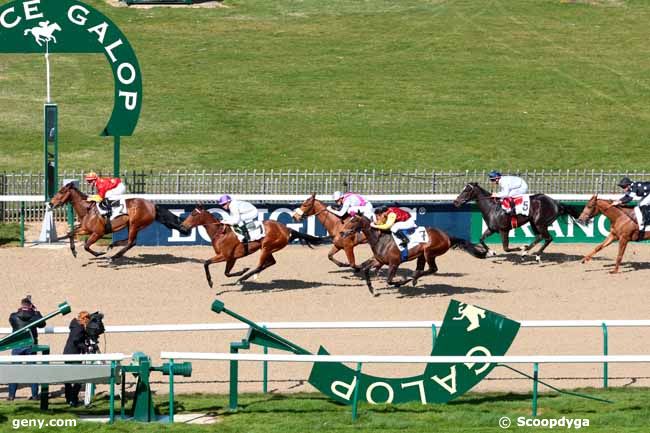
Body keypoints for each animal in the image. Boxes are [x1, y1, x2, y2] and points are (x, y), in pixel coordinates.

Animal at [48, 183, 187, 258]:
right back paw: (113, 245)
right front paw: (73, 251)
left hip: (135, 224)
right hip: (132, 225)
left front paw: (99, 254)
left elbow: (87, 245)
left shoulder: (98, 233)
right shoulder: (85, 229)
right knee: (131, 241)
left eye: (61, 191)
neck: (87, 210)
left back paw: (114, 256)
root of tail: (152, 205)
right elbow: (71, 233)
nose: (50, 203)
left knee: (131, 242)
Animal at [178, 205, 322, 288]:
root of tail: (287, 229)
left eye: (193, 214)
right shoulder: (231, 258)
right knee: (271, 262)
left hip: (266, 247)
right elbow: (226, 273)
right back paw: (246, 276)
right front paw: (242, 271)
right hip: (268, 249)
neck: (220, 233)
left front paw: (210, 282)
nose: (182, 226)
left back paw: (243, 278)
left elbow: (206, 263)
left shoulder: (224, 256)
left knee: (260, 265)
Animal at [342, 215, 484, 296]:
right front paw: (372, 290)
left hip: (429, 252)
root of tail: (447, 236)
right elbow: (366, 269)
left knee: (433, 269)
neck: (380, 239)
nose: (342, 232)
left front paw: (400, 283)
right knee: (422, 269)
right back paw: (414, 278)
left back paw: (413, 278)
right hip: (422, 255)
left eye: (352, 221)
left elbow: (389, 280)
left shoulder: (394, 263)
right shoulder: (379, 260)